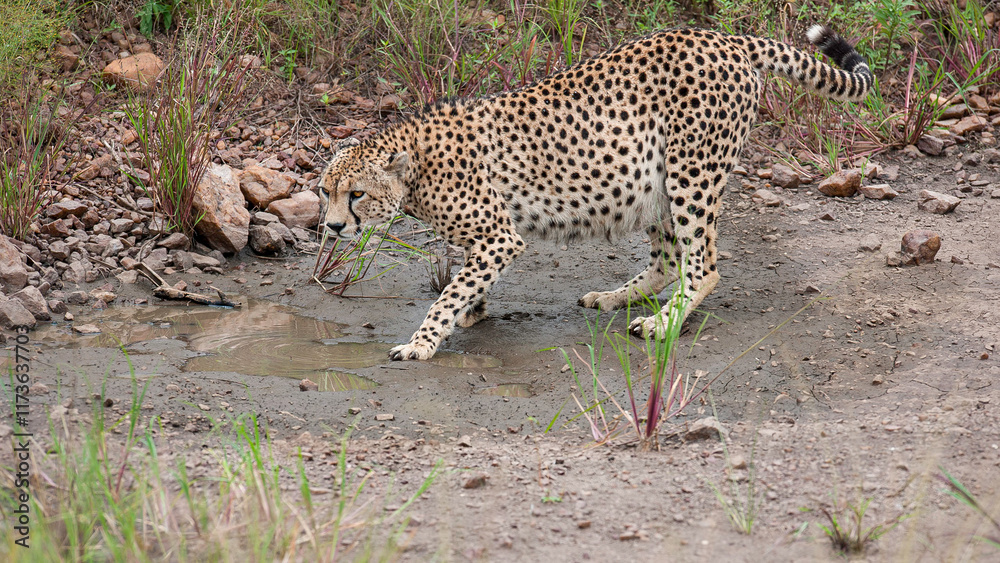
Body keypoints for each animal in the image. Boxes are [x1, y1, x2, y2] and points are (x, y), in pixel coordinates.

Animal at [318, 24, 873, 361]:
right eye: (325, 192)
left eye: (356, 194)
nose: (332, 226)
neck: (414, 167)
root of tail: (722, 36)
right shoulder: (490, 239)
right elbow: (466, 283)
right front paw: (472, 312)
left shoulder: (500, 237)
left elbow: (450, 291)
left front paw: (424, 341)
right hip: (655, 181)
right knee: (669, 258)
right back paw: (615, 297)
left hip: (692, 173)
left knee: (704, 266)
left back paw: (662, 323)